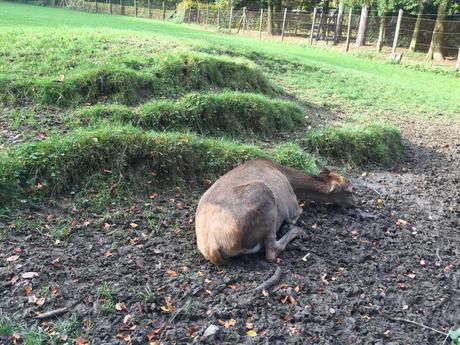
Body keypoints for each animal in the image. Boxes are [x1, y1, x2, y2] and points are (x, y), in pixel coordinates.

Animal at [194, 157, 360, 264]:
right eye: (351, 190)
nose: (358, 203)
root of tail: (211, 247)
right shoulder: (292, 206)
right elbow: (298, 212)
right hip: (265, 198)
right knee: (271, 252)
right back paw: (297, 231)